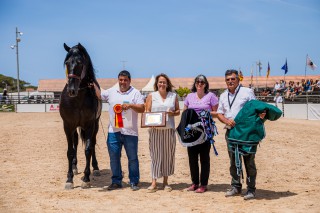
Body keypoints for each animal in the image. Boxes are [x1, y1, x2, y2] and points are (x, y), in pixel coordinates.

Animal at [59, 42, 101, 189]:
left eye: (80, 63)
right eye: (67, 63)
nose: (72, 90)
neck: (78, 99)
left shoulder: (89, 125)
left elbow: (88, 149)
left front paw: (86, 178)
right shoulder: (68, 126)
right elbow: (70, 151)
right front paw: (69, 179)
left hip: (95, 126)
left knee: (92, 143)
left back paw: (96, 168)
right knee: (76, 143)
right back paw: (75, 166)